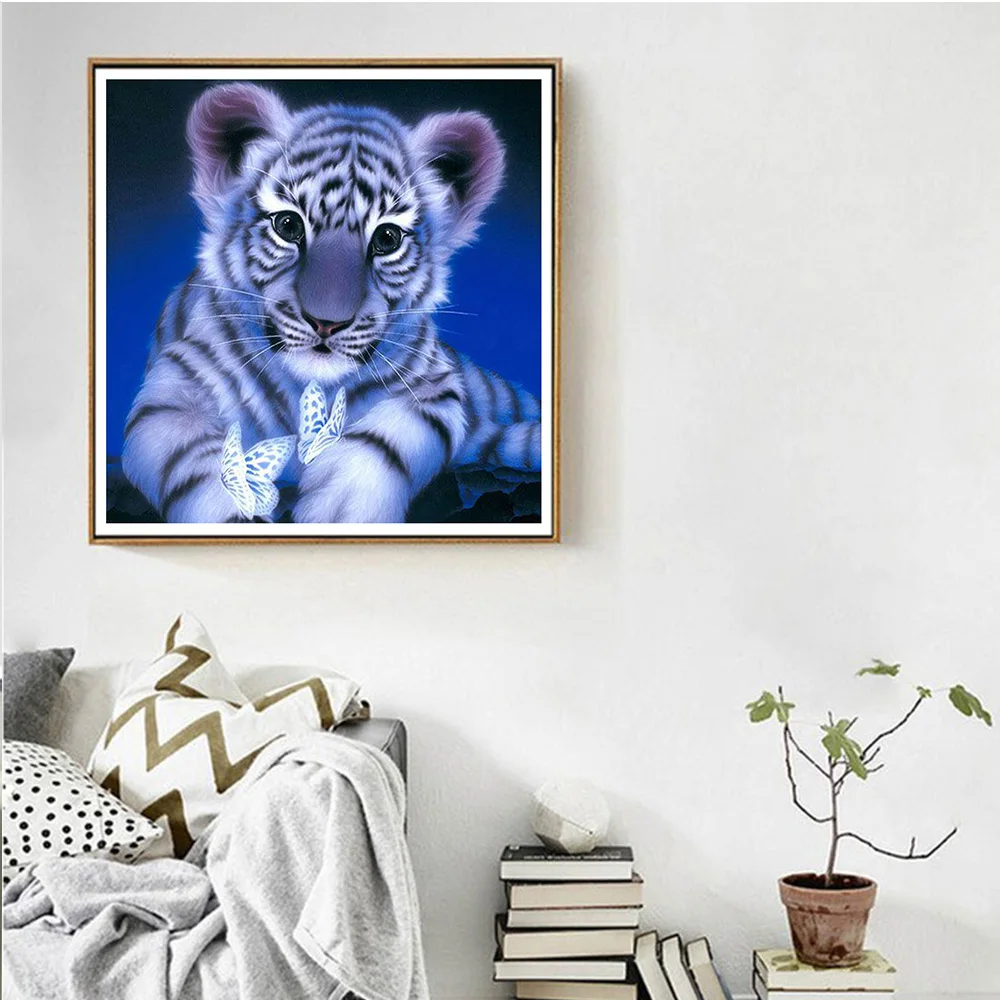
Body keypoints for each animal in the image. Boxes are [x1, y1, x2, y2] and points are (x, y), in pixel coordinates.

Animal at [121, 82, 542, 524]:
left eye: (387, 238)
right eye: (288, 225)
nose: (326, 323)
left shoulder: (437, 385)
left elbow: (389, 437)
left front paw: (340, 508)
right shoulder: (172, 392)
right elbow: (205, 465)